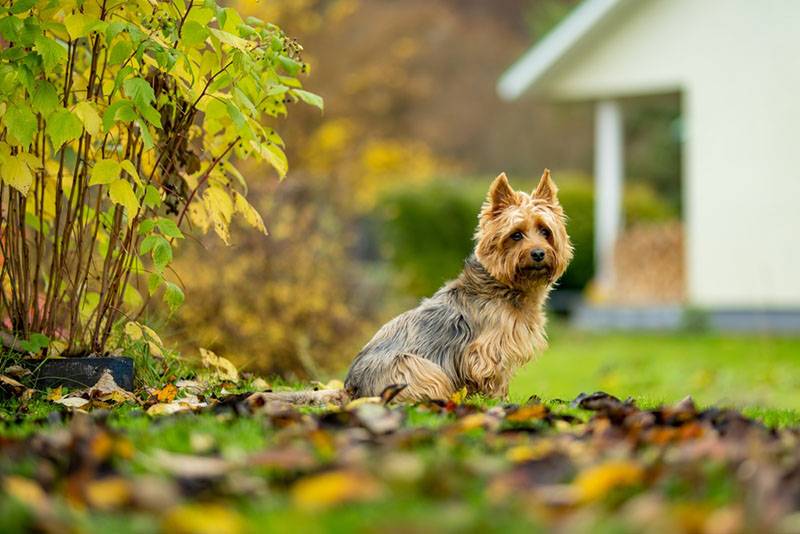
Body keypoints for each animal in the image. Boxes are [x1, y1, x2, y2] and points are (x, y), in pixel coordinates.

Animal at [346, 172, 572, 402]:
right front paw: (497, 401)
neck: (506, 285)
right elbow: (493, 377)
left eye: (545, 231)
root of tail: (353, 389)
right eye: (516, 235)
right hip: (414, 367)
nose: (538, 253)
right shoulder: (487, 351)